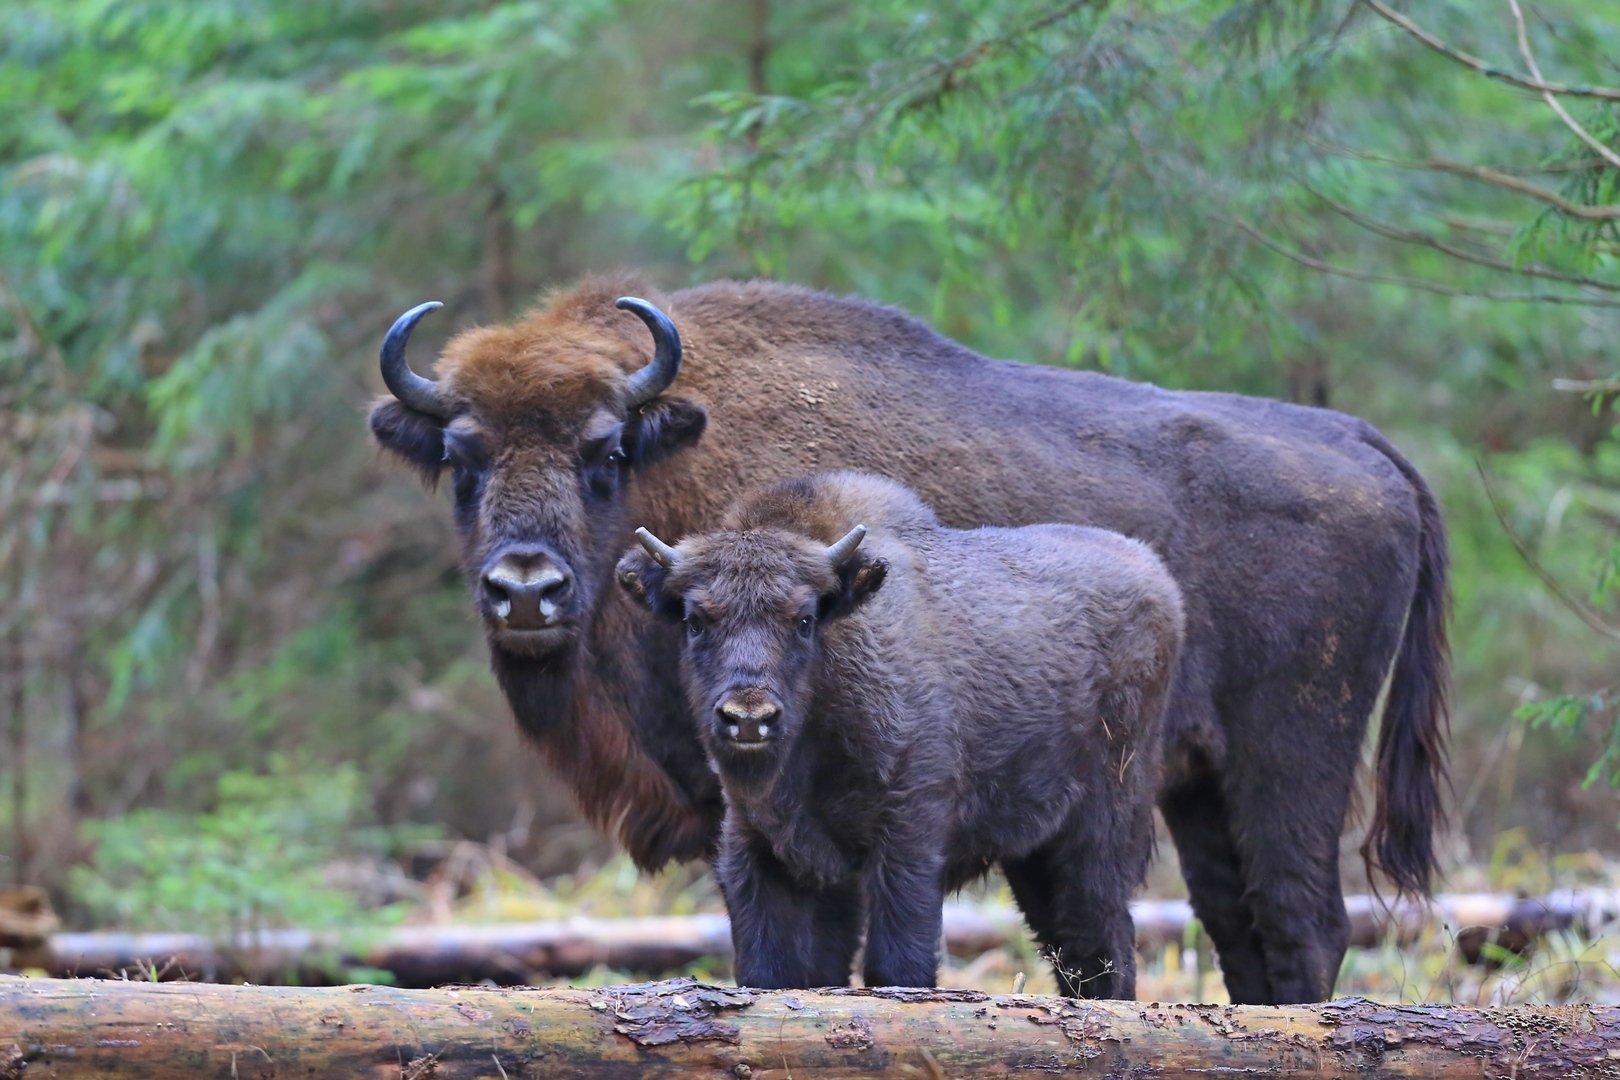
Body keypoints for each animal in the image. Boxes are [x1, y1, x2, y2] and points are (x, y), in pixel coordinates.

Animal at [612, 472, 1185, 997]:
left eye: (804, 618)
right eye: (694, 620)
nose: (749, 717)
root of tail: (1159, 582)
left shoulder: (908, 836)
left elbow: (896, 966)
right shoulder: (763, 848)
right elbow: (773, 973)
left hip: (1101, 830)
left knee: (1103, 939)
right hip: (1035, 855)